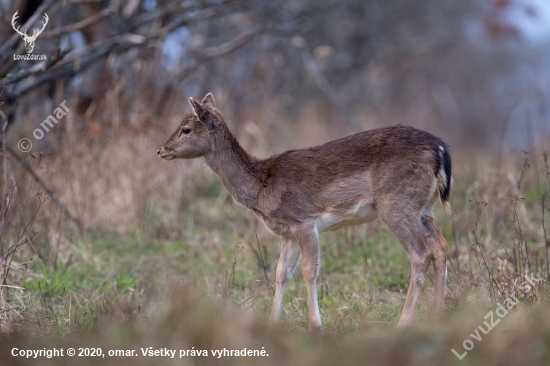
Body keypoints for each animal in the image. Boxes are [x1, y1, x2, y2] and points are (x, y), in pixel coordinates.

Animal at [158, 93, 452, 330]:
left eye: (185, 129)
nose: (161, 150)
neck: (262, 187)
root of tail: (440, 149)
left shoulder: (305, 221)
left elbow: (310, 270)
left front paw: (315, 326)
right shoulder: (288, 232)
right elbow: (281, 272)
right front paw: (272, 323)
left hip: (396, 204)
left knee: (420, 254)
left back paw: (404, 323)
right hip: (423, 208)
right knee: (440, 245)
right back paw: (436, 315)